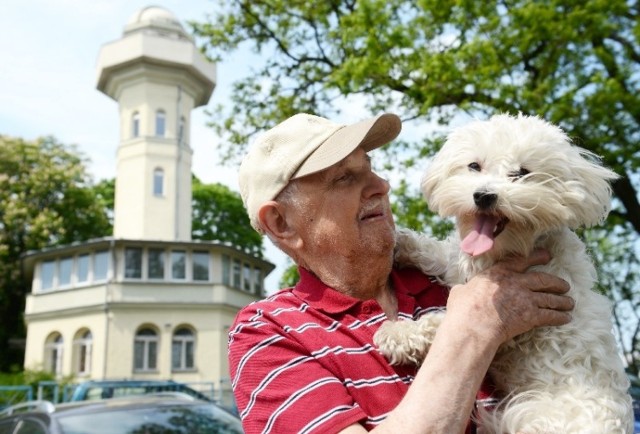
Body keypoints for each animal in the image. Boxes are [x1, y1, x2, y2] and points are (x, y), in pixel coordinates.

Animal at [376, 113, 636, 432]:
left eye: (522, 173)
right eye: (474, 166)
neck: (515, 249)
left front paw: (398, 333)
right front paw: (401, 242)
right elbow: (443, 254)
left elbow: (445, 323)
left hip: (526, 417)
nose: (484, 196)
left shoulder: (510, 328)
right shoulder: (465, 269)